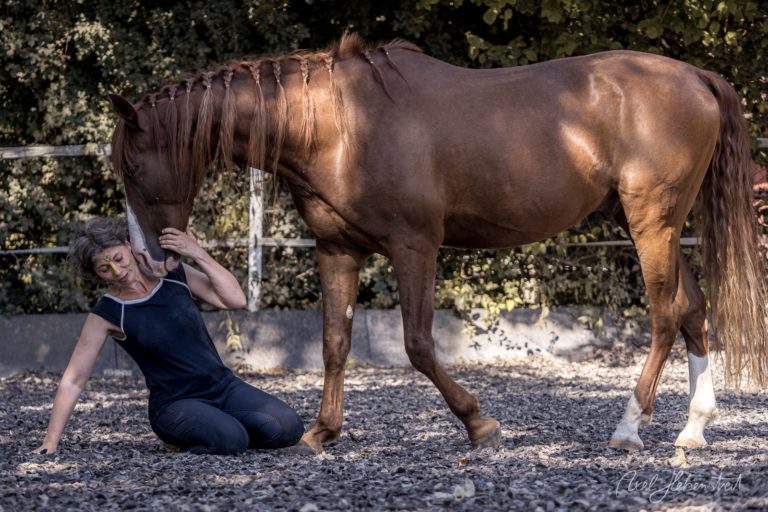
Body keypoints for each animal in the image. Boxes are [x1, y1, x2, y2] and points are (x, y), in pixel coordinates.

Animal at [109, 34, 767, 453]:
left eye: (133, 168)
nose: (150, 258)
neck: (338, 127)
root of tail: (696, 76)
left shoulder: (414, 247)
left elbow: (419, 345)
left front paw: (479, 425)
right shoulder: (337, 251)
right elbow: (334, 344)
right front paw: (322, 433)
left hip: (652, 221)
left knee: (665, 314)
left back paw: (630, 428)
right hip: (654, 223)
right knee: (693, 310)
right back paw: (693, 428)